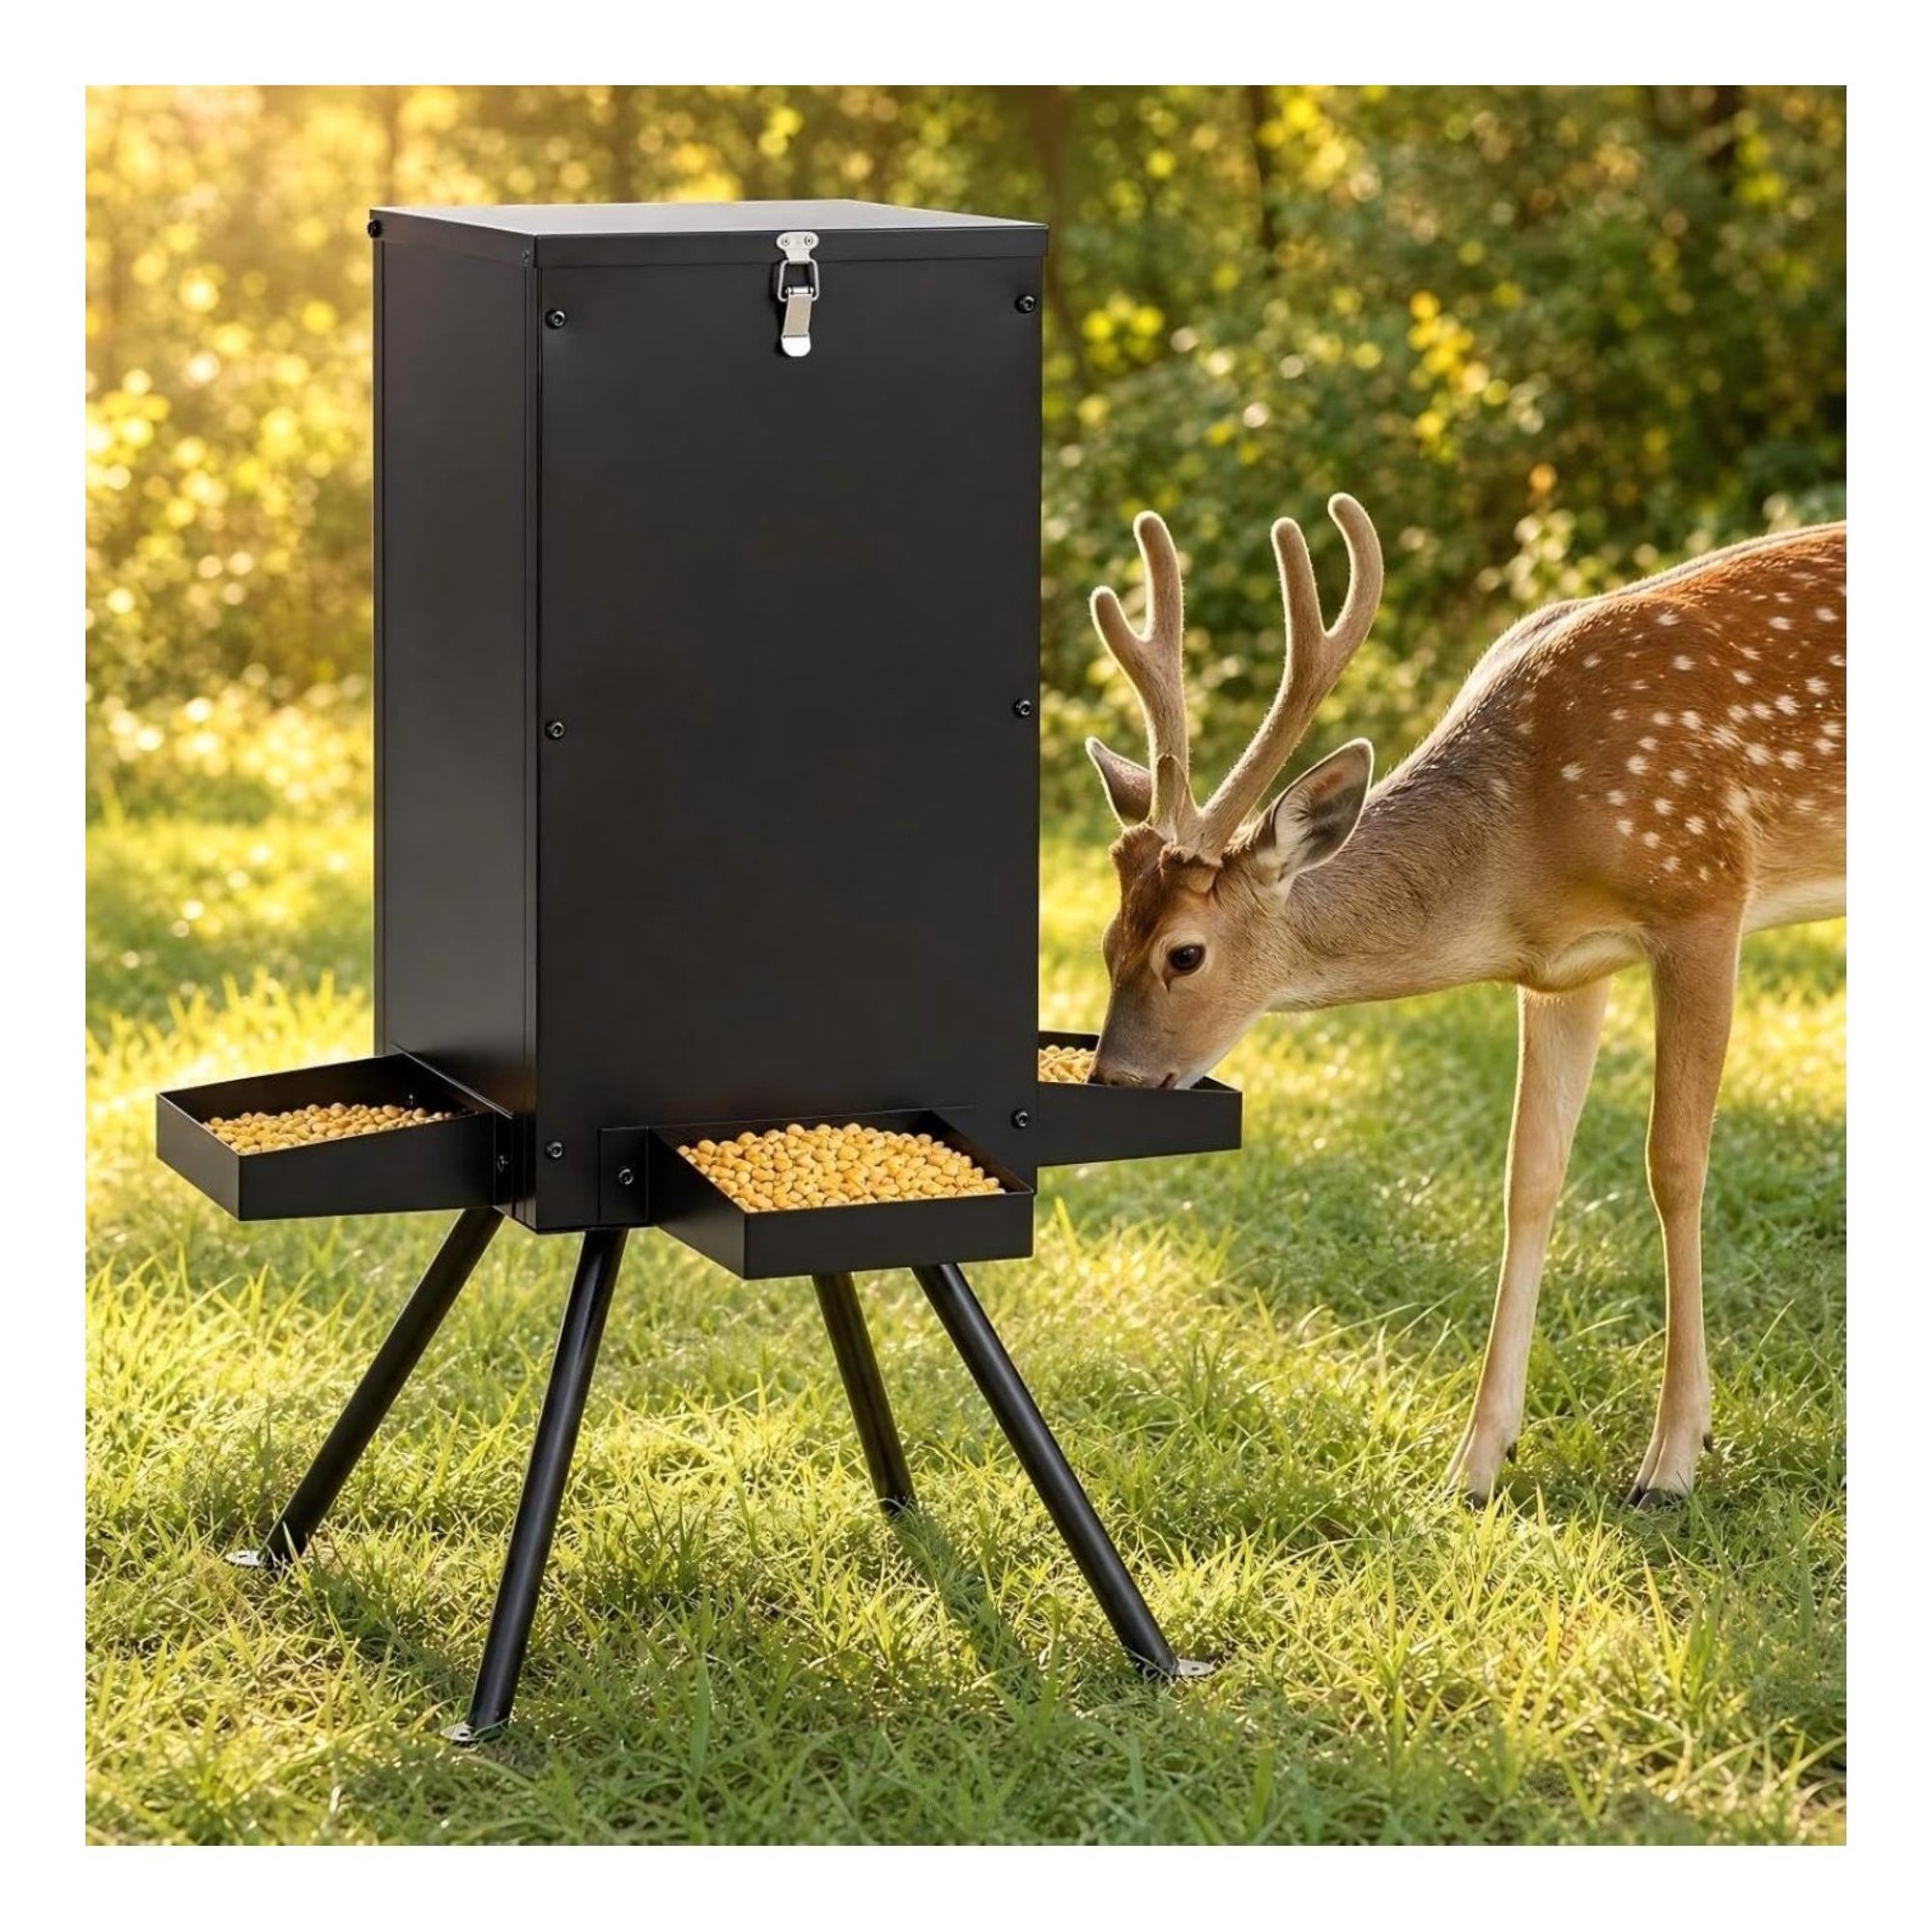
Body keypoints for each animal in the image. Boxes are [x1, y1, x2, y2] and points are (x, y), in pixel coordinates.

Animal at [1081, 496, 1845, 1504]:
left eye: (1185, 953)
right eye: (1106, 942)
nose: (1113, 1080)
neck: (1525, 841)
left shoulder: (1702, 894)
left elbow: (1675, 1166)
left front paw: (1672, 1460)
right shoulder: (1565, 971)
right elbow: (1531, 1179)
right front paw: (1475, 1464)